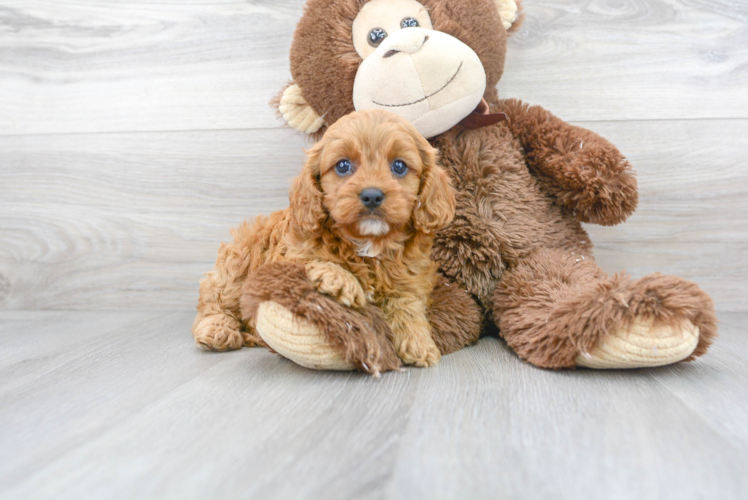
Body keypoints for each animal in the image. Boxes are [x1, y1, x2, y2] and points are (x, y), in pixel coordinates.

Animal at [193, 109, 456, 368]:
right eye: (343, 166)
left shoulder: (411, 278)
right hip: (237, 263)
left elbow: (407, 303)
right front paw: (340, 279)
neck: (367, 243)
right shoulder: (285, 258)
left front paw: (418, 341)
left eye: (399, 166)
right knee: (214, 302)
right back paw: (218, 330)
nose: (372, 195)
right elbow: (312, 259)